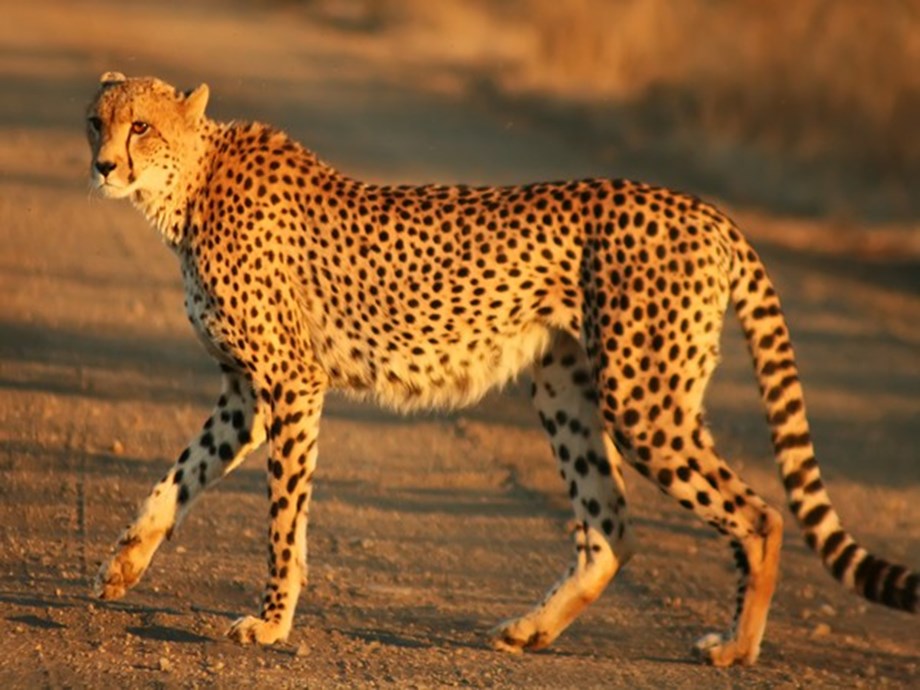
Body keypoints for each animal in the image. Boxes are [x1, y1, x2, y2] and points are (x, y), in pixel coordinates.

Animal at [85, 72, 918, 667]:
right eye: (98, 120)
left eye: (141, 127)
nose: (101, 165)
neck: (189, 186)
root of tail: (704, 209)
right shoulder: (245, 394)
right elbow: (179, 475)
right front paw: (124, 564)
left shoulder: (291, 383)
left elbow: (284, 518)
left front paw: (270, 623)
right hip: (566, 388)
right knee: (609, 527)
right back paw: (532, 630)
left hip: (643, 400)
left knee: (760, 514)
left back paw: (738, 648)